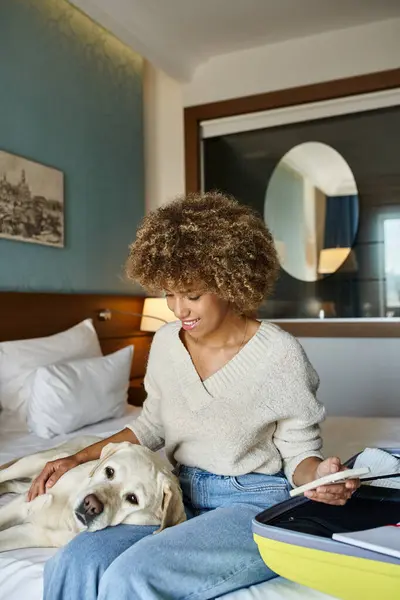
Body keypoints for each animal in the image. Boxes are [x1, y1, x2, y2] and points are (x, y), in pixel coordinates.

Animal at [0, 436, 186, 552]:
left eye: (133, 498)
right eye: (109, 471)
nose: (91, 506)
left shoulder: (32, 533)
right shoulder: (20, 506)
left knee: (13, 484)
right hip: (33, 463)